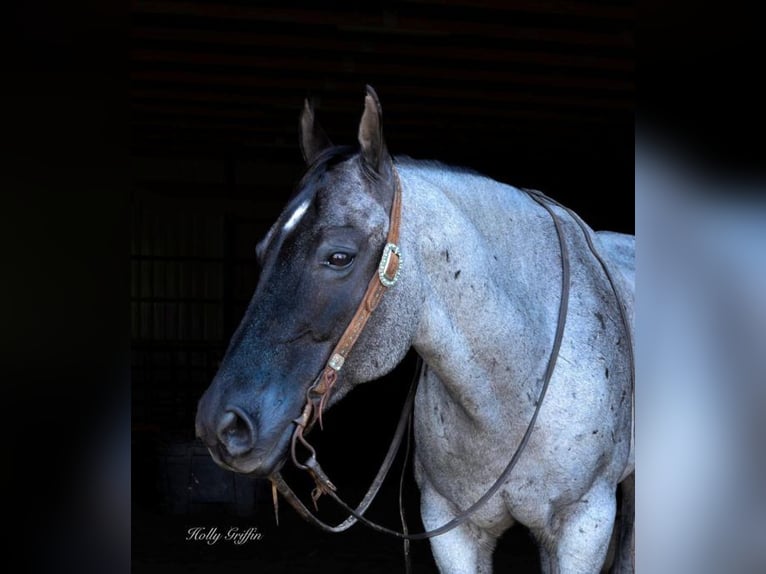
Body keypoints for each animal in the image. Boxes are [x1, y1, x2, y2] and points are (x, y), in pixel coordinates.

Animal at [196, 86, 636, 574]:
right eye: (261, 250)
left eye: (339, 256)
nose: (221, 424)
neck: (517, 387)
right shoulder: (451, 528)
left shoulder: (583, 525)